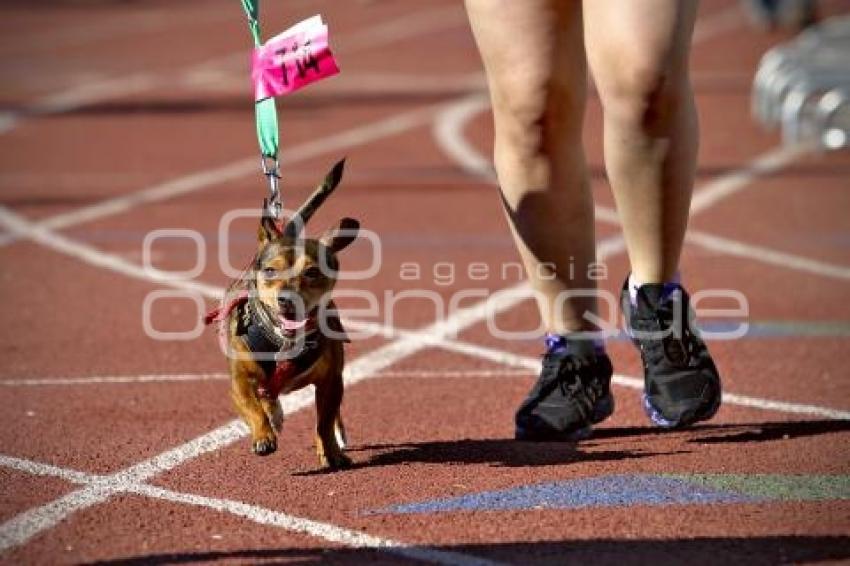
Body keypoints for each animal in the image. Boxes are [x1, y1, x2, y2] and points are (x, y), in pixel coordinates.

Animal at [206, 160, 358, 470]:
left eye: (312, 272)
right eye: (269, 270)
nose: (286, 299)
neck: (283, 340)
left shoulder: (331, 380)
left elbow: (324, 421)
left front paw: (330, 450)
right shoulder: (239, 382)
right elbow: (252, 407)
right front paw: (264, 436)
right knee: (266, 397)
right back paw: (273, 415)